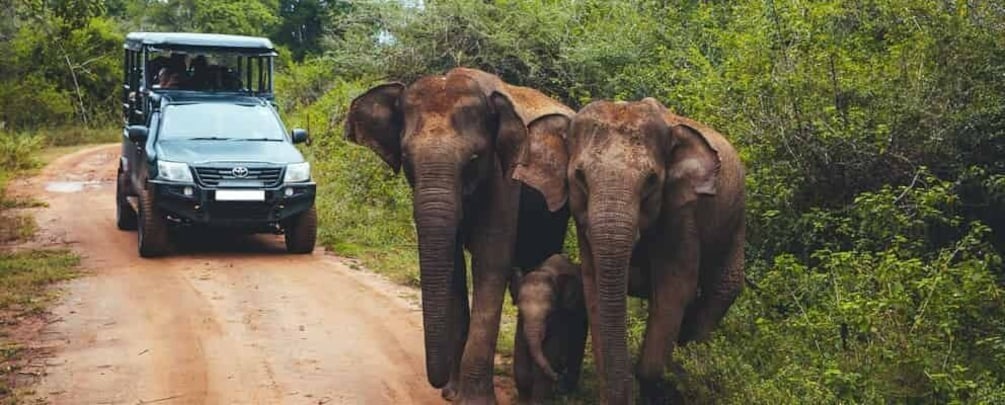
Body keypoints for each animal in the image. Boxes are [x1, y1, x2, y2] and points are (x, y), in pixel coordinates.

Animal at [343, 67, 574, 401]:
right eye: (406, 159)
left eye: (474, 159)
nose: (438, 386)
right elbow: (452, 269)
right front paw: (452, 393)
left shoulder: (504, 178)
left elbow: (490, 263)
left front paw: (473, 399)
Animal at [510, 253, 586, 401]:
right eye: (520, 311)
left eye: (549, 314)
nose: (557, 377)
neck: (546, 271)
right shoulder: (520, 325)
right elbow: (521, 366)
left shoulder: (559, 319)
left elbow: (544, 365)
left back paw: (564, 389)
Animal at [518, 97, 747, 401]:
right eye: (579, 176)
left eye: (651, 181)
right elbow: (594, 287)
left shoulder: (681, 211)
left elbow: (674, 289)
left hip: (736, 223)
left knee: (721, 291)